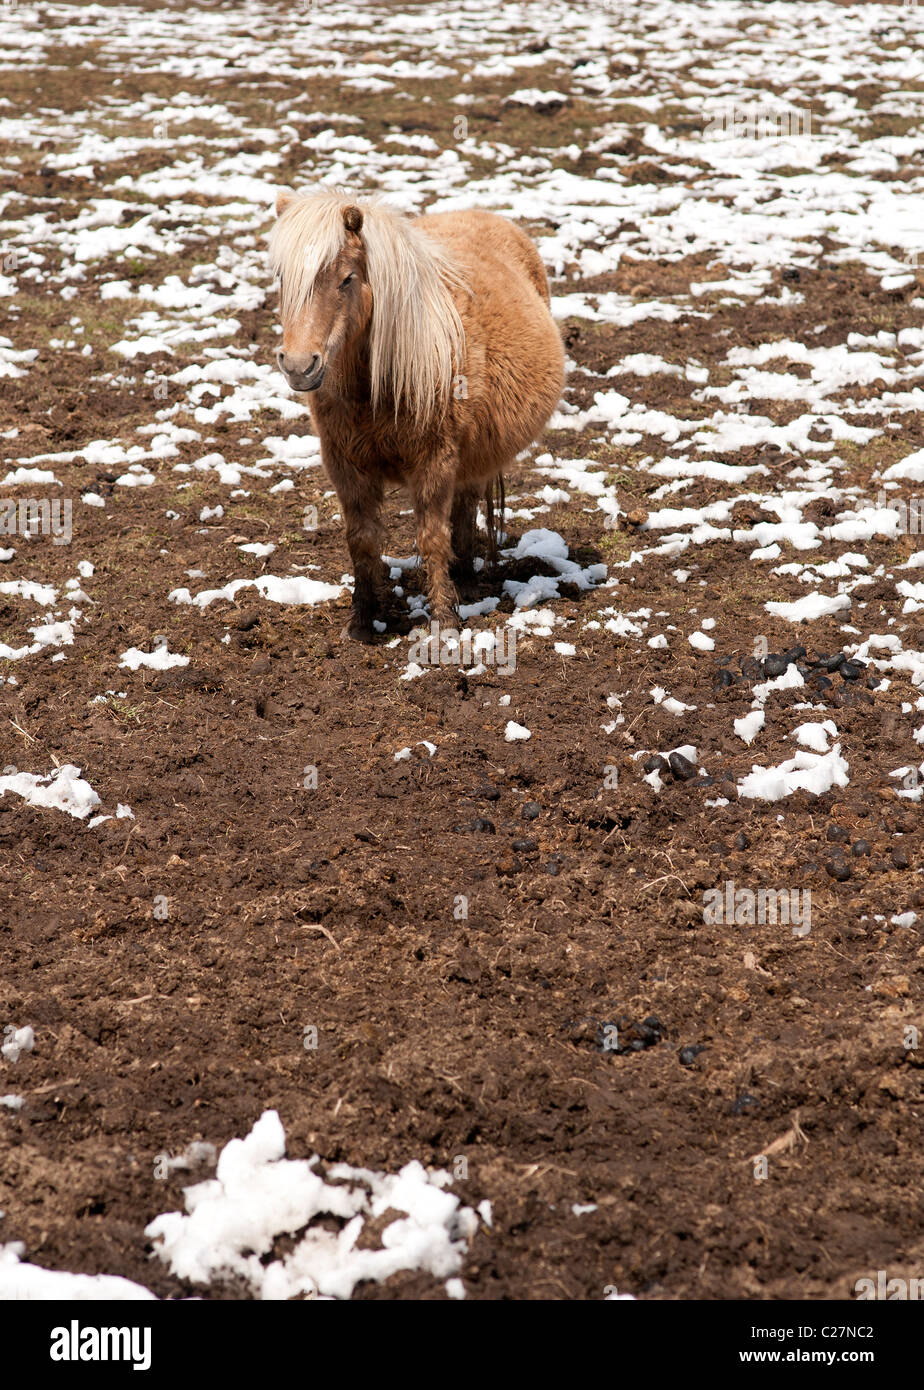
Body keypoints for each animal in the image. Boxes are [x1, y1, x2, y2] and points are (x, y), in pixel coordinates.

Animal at [266, 190, 561, 639]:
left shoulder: (435, 462)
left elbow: (432, 538)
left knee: (464, 506)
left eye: (347, 279)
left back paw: (465, 580)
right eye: (283, 278)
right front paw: (361, 621)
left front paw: (444, 622)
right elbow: (362, 540)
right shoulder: (345, 466)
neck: (375, 388)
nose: (299, 366)